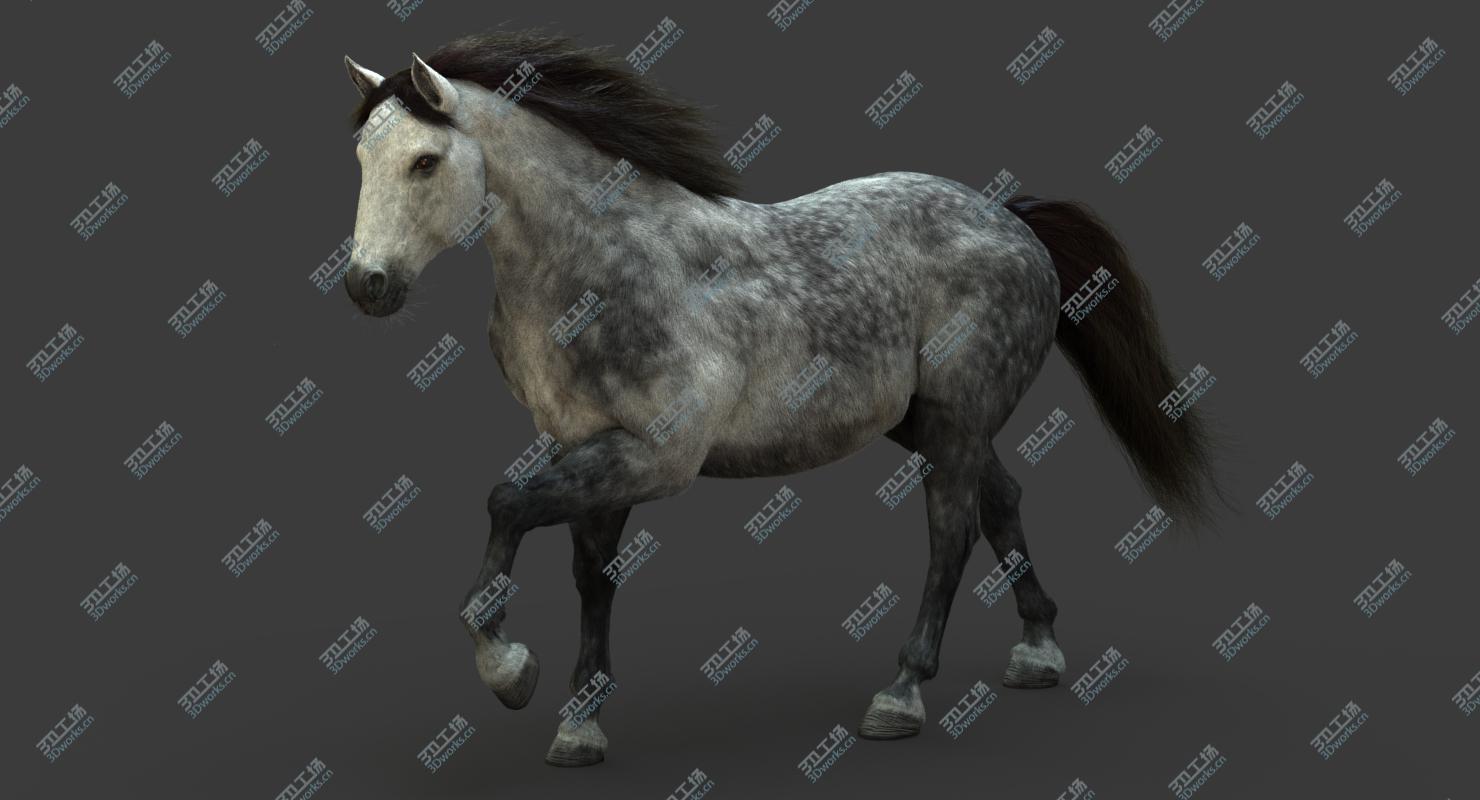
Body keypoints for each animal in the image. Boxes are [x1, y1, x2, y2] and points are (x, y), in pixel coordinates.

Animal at [339, 30, 1220, 767]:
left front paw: (508, 670)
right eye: (360, 157)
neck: (599, 268)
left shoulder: (656, 456)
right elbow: (593, 575)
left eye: (424, 161)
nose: (365, 285)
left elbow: (507, 502)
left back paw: (900, 696)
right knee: (1001, 499)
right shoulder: (586, 444)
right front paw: (580, 725)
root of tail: (1010, 218)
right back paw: (1037, 651)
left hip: (956, 419)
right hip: (926, 424)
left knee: (952, 532)